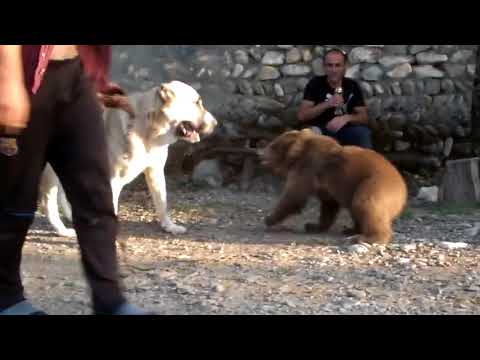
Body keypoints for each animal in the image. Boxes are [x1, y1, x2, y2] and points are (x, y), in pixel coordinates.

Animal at [39, 80, 218, 238]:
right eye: (197, 103)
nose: (216, 124)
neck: (148, 126)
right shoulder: (112, 181)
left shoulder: (155, 172)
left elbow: (162, 202)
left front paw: (169, 226)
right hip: (52, 173)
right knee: (48, 203)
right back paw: (62, 230)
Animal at [260, 129, 406, 245]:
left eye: (272, 145)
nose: (260, 153)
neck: (297, 155)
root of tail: (403, 190)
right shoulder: (325, 185)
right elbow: (328, 205)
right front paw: (313, 225)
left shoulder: (307, 168)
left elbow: (294, 196)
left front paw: (269, 218)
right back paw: (351, 230)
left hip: (375, 185)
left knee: (366, 204)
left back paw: (364, 237)